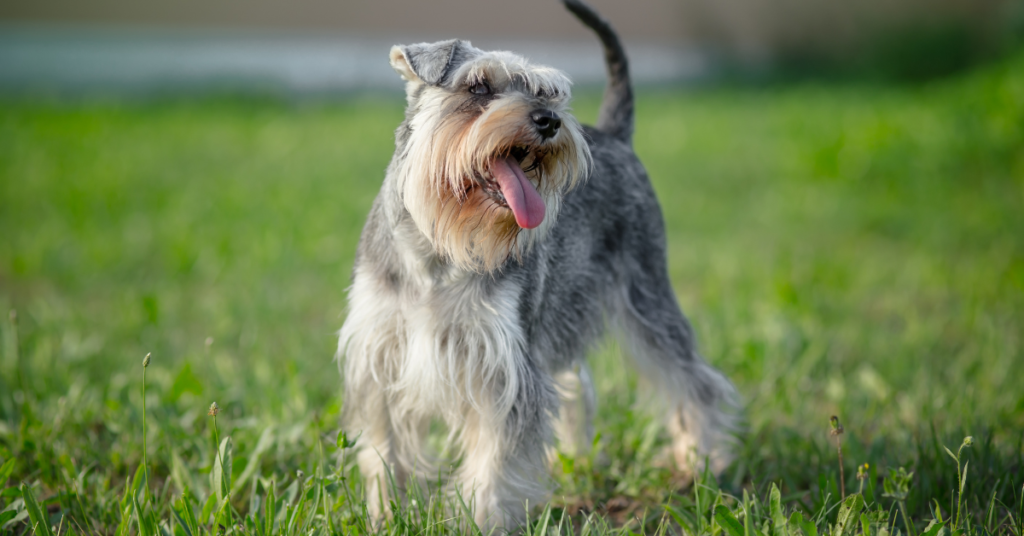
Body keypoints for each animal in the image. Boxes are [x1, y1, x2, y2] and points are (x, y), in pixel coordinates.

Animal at [339, 0, 741, 528]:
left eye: (547, 91)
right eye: (478, 87)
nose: (549, 120)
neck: (439, 251)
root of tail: (615, 135)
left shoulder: (504, 369)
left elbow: (492, 465)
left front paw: (476, 521)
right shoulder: (380, 358)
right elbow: (384, 452)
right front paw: (384, 514)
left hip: (647, 296)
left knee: (693, 380)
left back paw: (701, 461)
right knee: (577, 384)